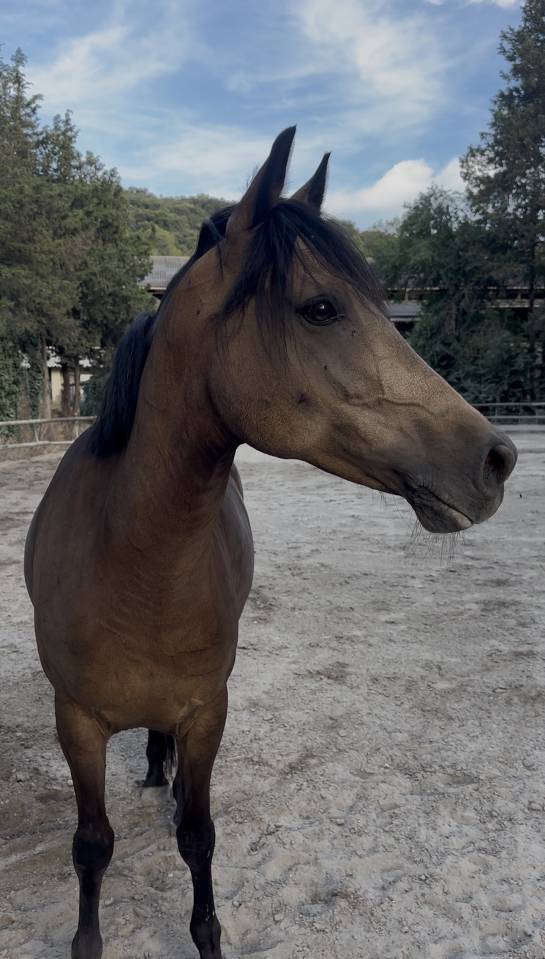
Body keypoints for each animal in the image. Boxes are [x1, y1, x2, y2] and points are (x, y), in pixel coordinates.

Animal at [24, 127, 517, 959]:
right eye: (319, 307)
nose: (495, 458)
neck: (130, 565)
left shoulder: (206, 711)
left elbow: (199, 836)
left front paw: (207, 934)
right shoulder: (77, 722)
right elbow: (91, 846)